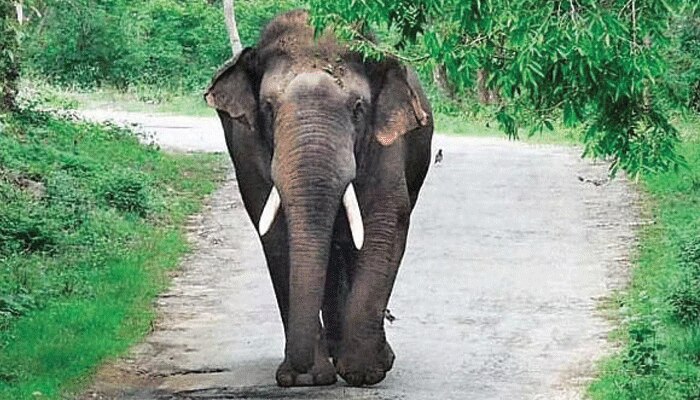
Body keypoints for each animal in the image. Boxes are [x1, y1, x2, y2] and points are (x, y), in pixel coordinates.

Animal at [202, 10, 432, 388]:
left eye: (358, 109)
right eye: (268, 108)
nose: (299, 371)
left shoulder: (387, 142)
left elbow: (382, 222)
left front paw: (364, 373)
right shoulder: (246, 147)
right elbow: (276, 234)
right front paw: (307, 379)